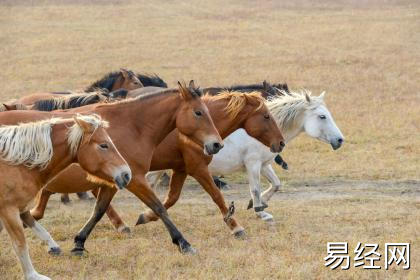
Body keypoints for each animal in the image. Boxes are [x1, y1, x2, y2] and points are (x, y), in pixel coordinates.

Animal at [0, 114, 130, 280]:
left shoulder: (21, 209)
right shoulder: (9, 211)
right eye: (104, 145)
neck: (17, 164)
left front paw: (54, 248)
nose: (127, 174)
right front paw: (33, 275)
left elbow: (39, 227)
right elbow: (20, 244)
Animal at [146, 91, 342, 222]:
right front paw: (260, 211)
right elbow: (254, 188)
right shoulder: (253, 164)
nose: (340, 140)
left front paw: (259, 204)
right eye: (322, 116)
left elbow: (276, 184)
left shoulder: (264, 165)